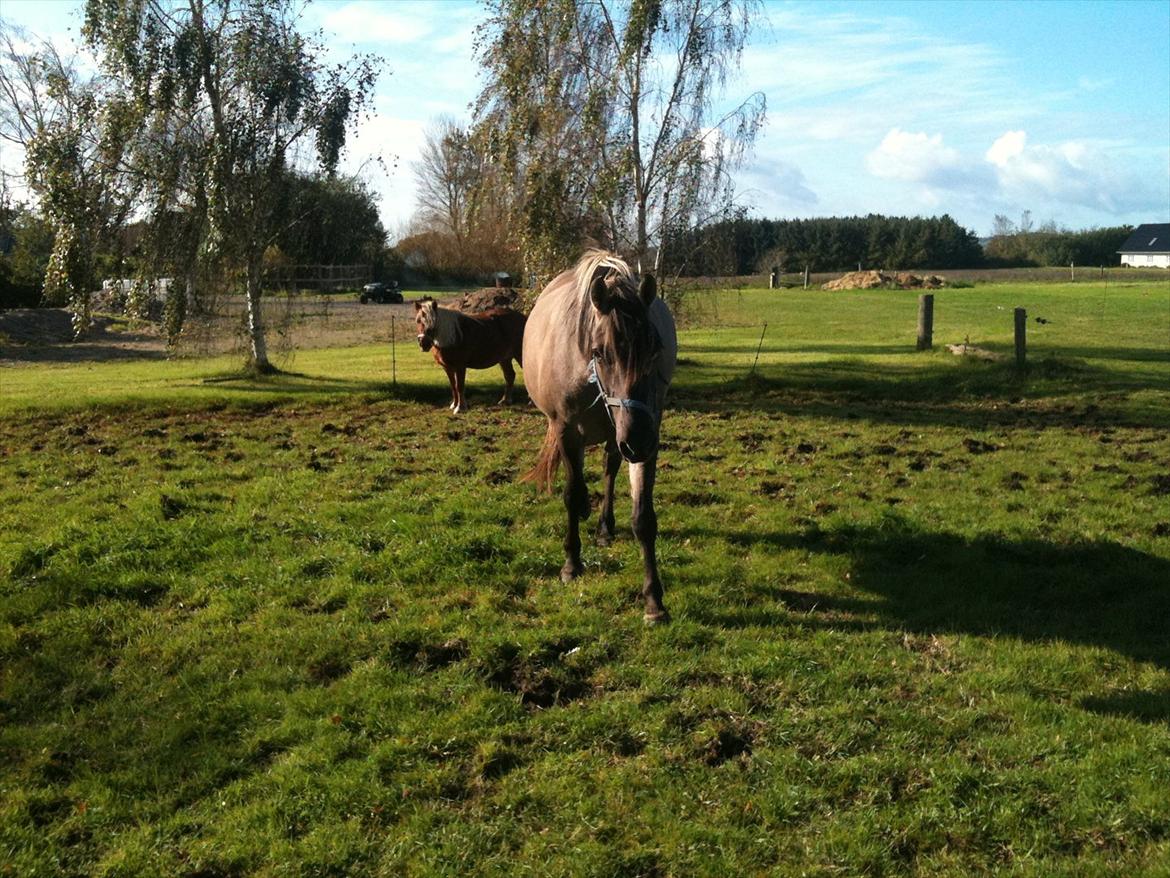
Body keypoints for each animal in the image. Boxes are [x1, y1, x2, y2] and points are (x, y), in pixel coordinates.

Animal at [526, 252, 683, 627]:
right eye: (600, 352)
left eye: (655, 348)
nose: (638, 440)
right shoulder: (566, 430)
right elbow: (571, 494)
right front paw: (571, 564)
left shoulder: (647, 430)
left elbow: (643, 518)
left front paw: (653, 600)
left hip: (620, 437)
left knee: (610, 469)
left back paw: (604, 527)